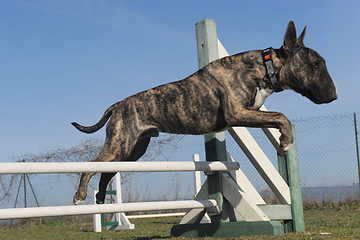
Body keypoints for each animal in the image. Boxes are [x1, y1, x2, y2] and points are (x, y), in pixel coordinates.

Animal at [71, 21, 336, 204]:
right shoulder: (238, 113)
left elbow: (277, 118)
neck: (264, 66)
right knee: (90, 165)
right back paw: (80, 195)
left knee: (105, 171)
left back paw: (100, 197)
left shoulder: (252, 113)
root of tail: (118, 104)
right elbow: (281, 116)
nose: (334, 95)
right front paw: (286, 141)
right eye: (315, 64)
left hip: (131, 150)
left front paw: (283, 140)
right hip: (120, 145)